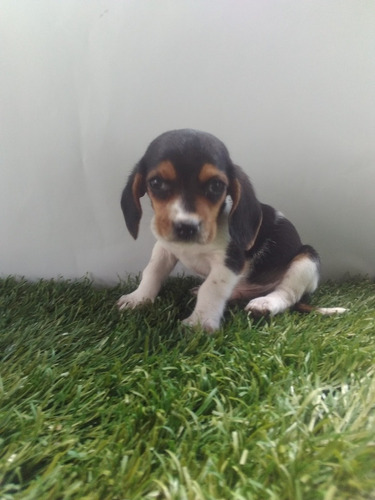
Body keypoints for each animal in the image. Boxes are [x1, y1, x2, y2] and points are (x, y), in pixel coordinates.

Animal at [118, 129, 346, 332]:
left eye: (216, 185)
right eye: (156, 182)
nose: (186, 226)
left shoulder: (229, 261)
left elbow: (211, 289)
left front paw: (199, 323)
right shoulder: (164, 249)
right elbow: (152, 271)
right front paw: (139, 298)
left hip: (306, 259)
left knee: (287, 294)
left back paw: (264, 304)